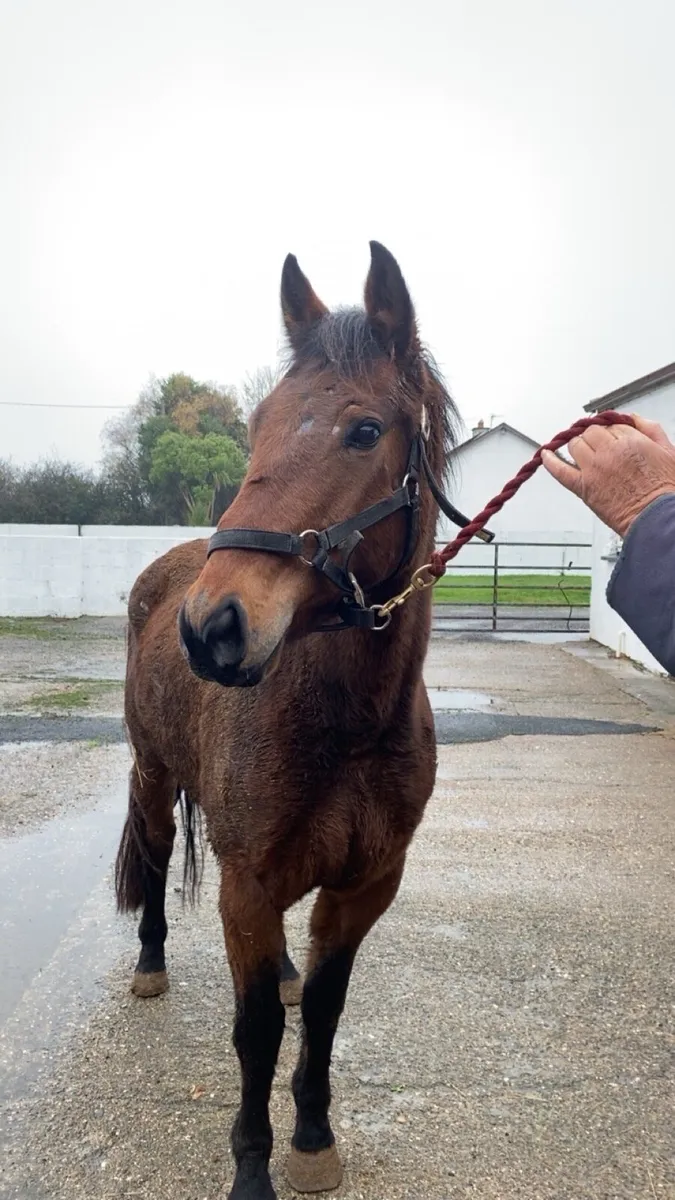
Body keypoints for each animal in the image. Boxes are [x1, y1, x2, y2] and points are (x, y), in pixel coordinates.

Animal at [115, 241, 460, 1200]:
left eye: (364, 431)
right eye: (259, 424)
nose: (211, 626)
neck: (345, 728)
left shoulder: (363, 886)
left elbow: (324, 1015)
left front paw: (311, 1139)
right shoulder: (245, 884)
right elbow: (255, 1032)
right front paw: (253, 1169)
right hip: (153, 779)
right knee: (153, 857)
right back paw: (150, 966)